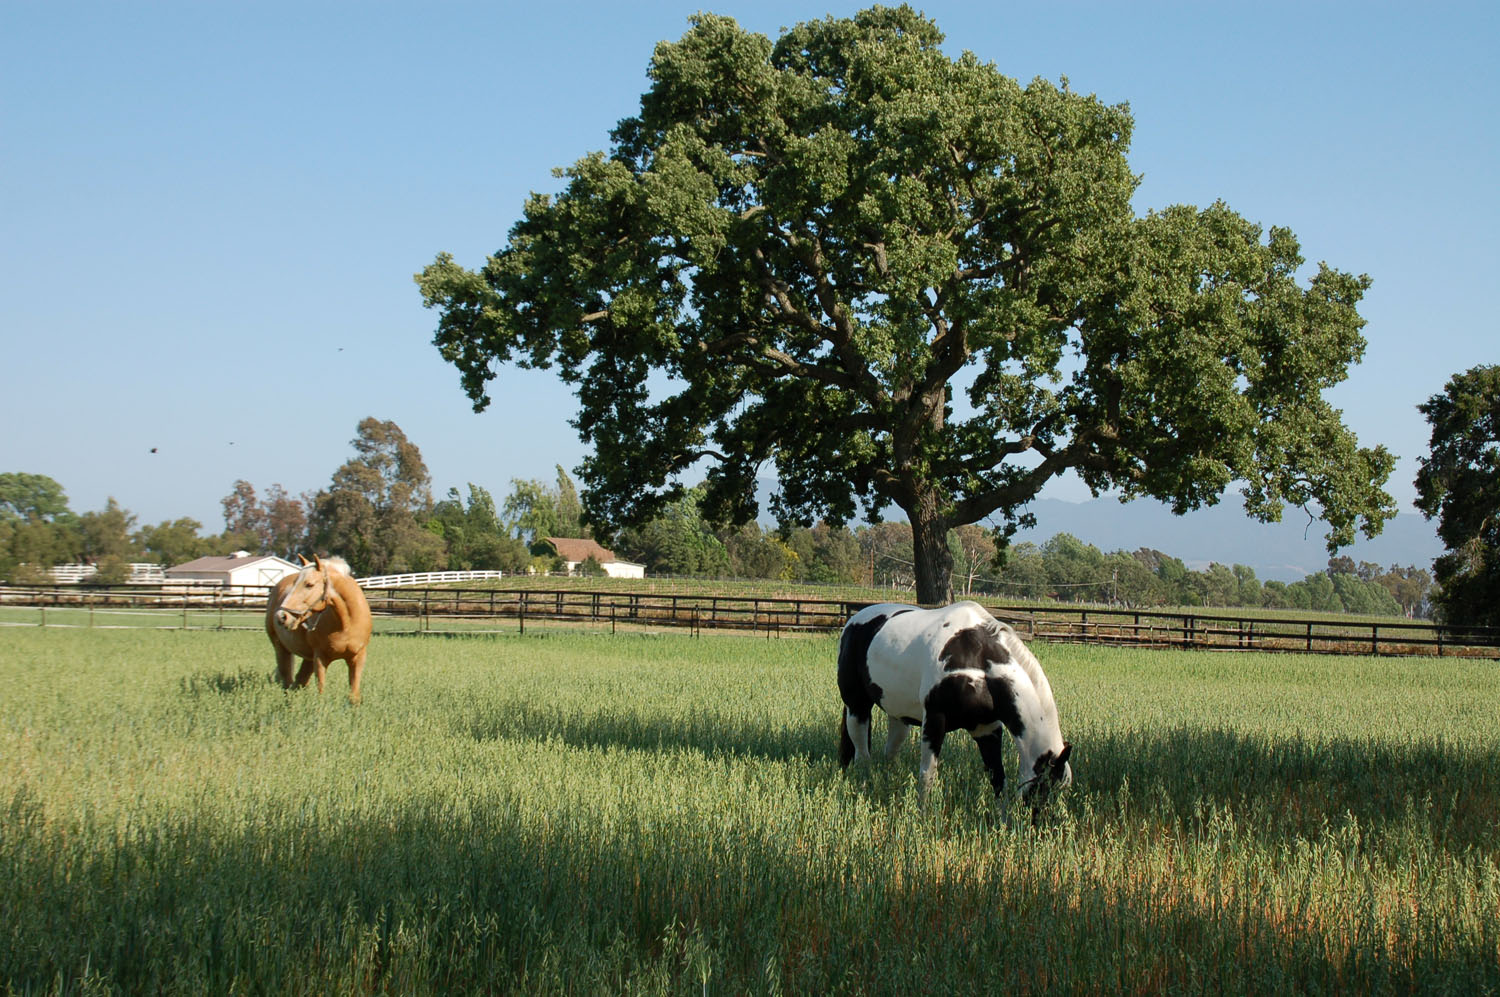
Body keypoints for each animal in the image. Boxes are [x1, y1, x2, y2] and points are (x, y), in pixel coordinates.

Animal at [264, 554, 372, 704]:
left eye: (309, 584)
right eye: (295, 583)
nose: (281, 616)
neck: (346, 624)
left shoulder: (358, 658)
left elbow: (354, 697)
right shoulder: (320, 658)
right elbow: (321, 692)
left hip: (308, 658)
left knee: (299, 681)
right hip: (281, 649)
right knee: (287, 682)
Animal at [840, 599, 1074, 809]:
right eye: (1045, 786)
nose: (1037, 823)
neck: (977, 659)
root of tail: (853, 621)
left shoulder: (987, 729)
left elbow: (997, 776)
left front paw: (1002, 819)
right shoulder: (934, 721)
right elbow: (928, 774)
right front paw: (922, 815)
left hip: (898, 715)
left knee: (890, 752)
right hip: (857, 707)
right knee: (862, 753)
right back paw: (864, 785)